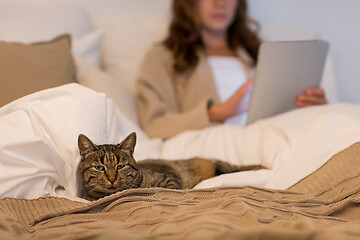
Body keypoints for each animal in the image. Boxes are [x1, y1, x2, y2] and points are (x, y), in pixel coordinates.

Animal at [77, 132, 262, 202]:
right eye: (99, 167)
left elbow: (169, 190)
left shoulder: (169, 179)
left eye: (120, 166)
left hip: (222, 166)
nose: (112, 179)